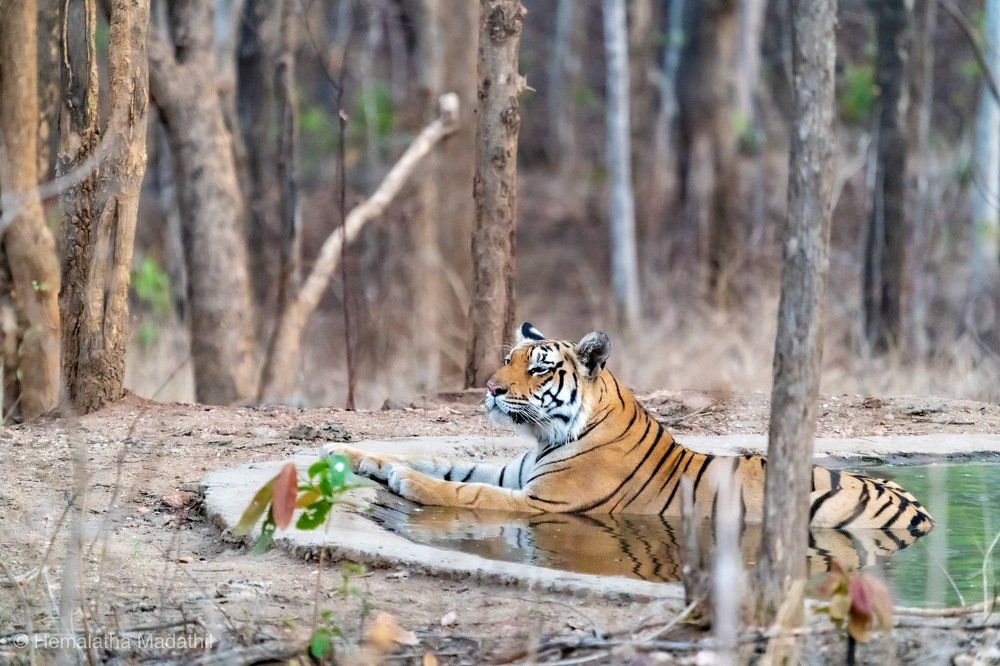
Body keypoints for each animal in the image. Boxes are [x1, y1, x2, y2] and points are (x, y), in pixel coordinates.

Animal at [336, 322, 934, 534]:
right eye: (508, 358)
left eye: (538, 368)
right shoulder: (516, 472)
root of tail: (921, 510)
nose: (491, 389)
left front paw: (410, 484)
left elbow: (465, 491)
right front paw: (365, 458)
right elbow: (444, 462)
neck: (547, 437)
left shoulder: (543, 502)